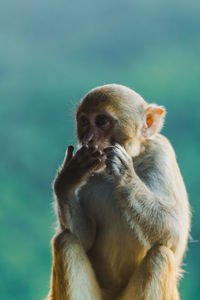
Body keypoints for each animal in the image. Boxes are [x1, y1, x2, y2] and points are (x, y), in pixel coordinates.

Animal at [46, 82, 189, 300]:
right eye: (84, 121)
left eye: (102, 121)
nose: (88, 139)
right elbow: (83, 237)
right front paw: (67, 179)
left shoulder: (162, 153)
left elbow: (175, 235)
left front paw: (125, 174)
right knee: (66, 241)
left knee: (161, 256)